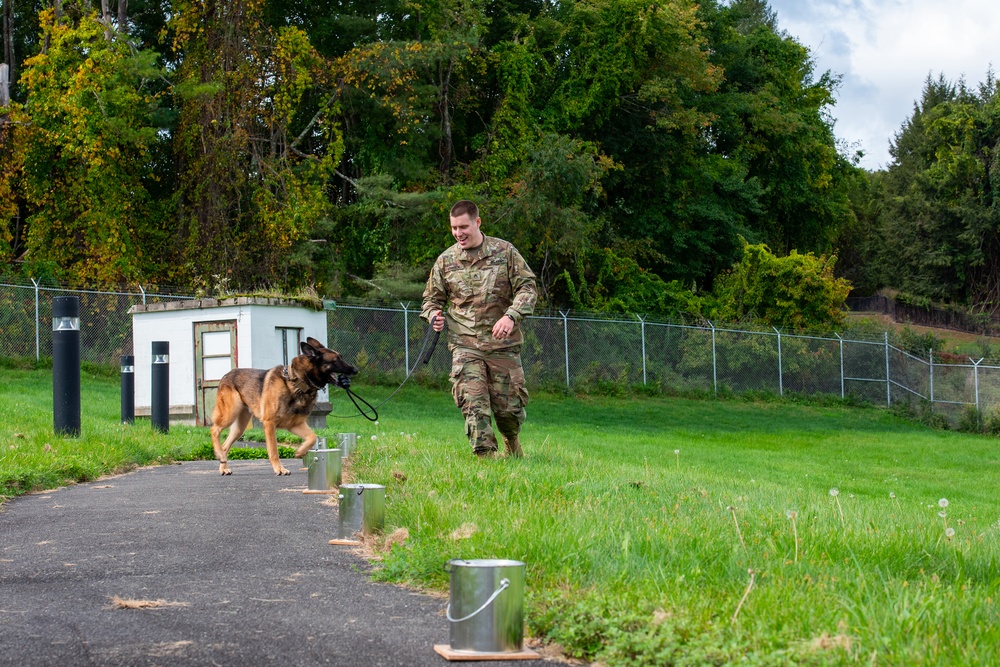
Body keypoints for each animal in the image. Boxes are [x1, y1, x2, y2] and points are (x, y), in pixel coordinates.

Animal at [211, 340, 360, 474]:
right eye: (336, 360)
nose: (355, 370)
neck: (298, 383)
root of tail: (226, 375)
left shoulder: (295, 424)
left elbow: (313, 437)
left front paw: (301, 451)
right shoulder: (269, 424)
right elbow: (273, 450)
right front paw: (280, 469)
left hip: (239, 428)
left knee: (225, 445)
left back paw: (223, 463)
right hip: (229, 415)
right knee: (214, 430)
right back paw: (219, 454)